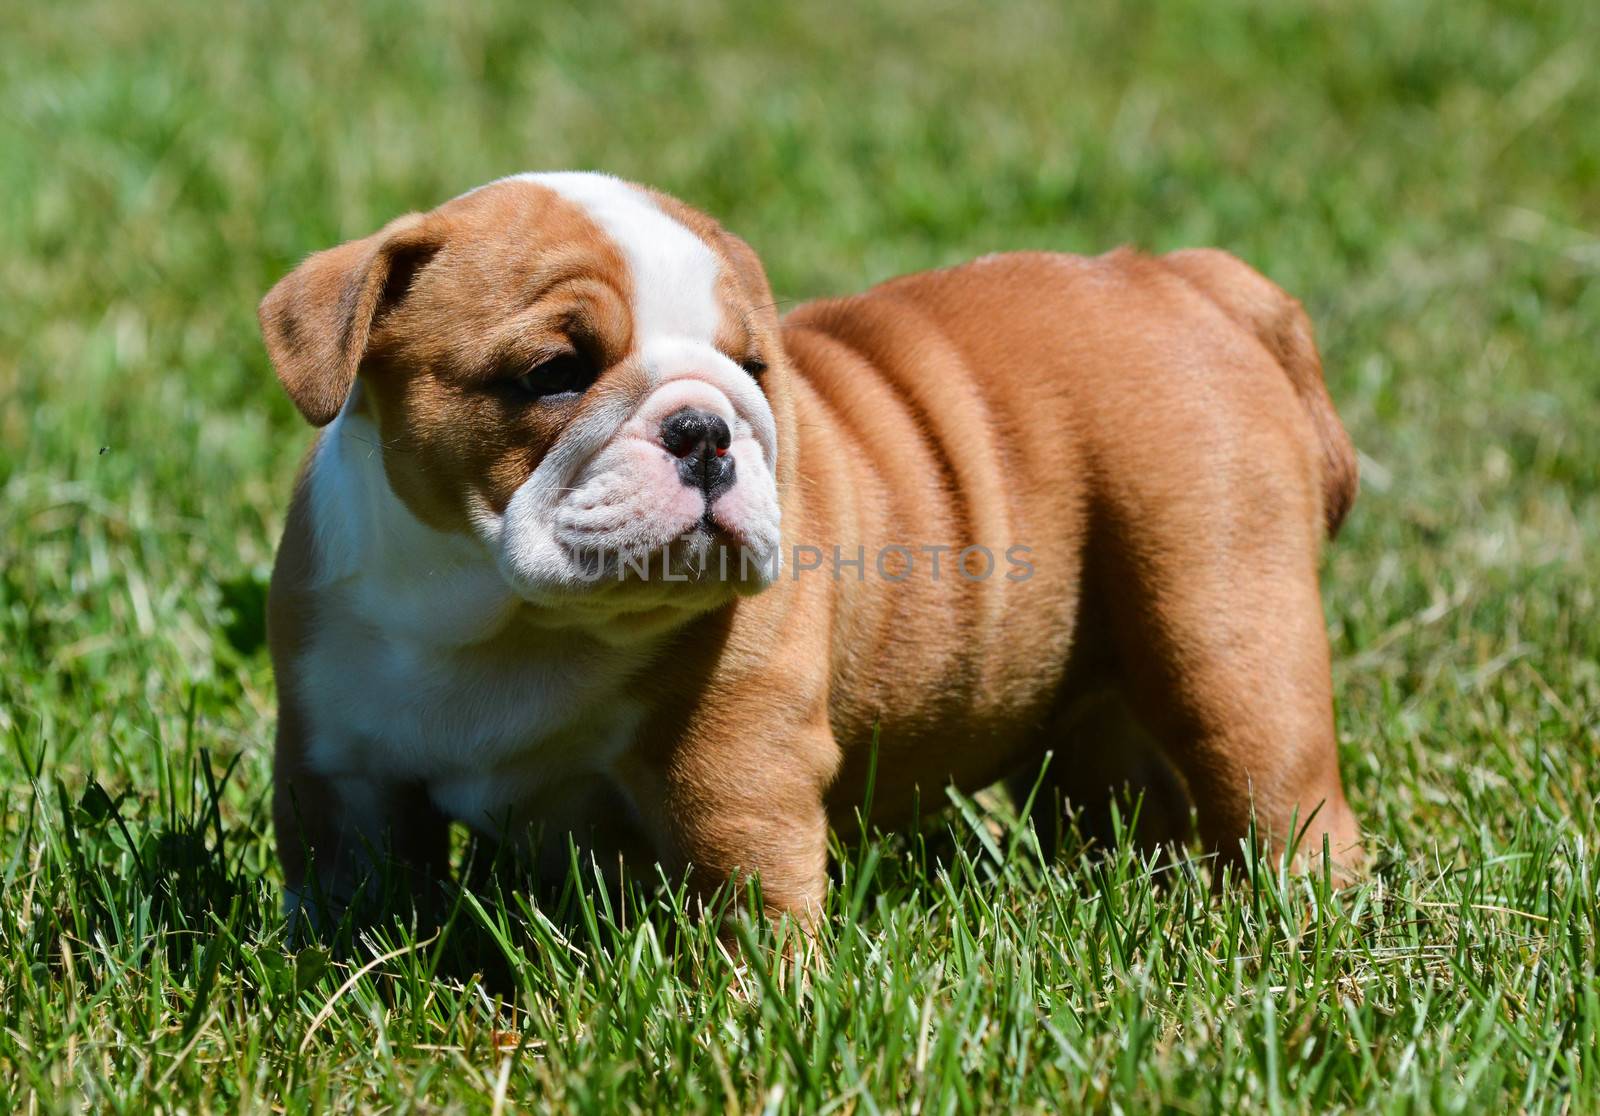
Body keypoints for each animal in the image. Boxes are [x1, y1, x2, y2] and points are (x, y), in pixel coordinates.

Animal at [259, 171, 1363, 920]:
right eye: (552, 372)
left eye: (753, 367)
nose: (705, 429)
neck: (504, 619)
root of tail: (1184, 279)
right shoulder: (341, 770)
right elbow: (352, 892)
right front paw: (342, 963)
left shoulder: (733, 764)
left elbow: (748, 894)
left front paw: (755, 1009)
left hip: (1223, 626)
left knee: (1276, 784)